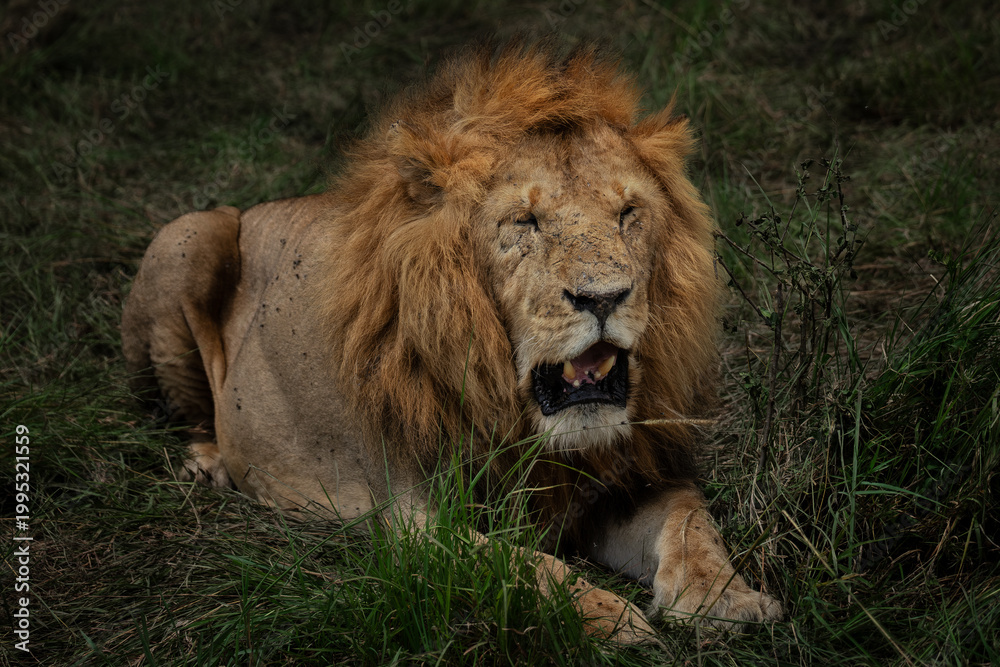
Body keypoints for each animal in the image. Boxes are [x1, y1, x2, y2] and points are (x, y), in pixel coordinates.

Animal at [122, 41, 782, 644]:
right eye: (525, 222)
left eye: (627, 214)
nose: (604, 298)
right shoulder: (410, 518)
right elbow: (520, 563)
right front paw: (607, 617)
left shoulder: (626, 485)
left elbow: (691, 520)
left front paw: (727, 600)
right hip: (188, 233)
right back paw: (210, 463)